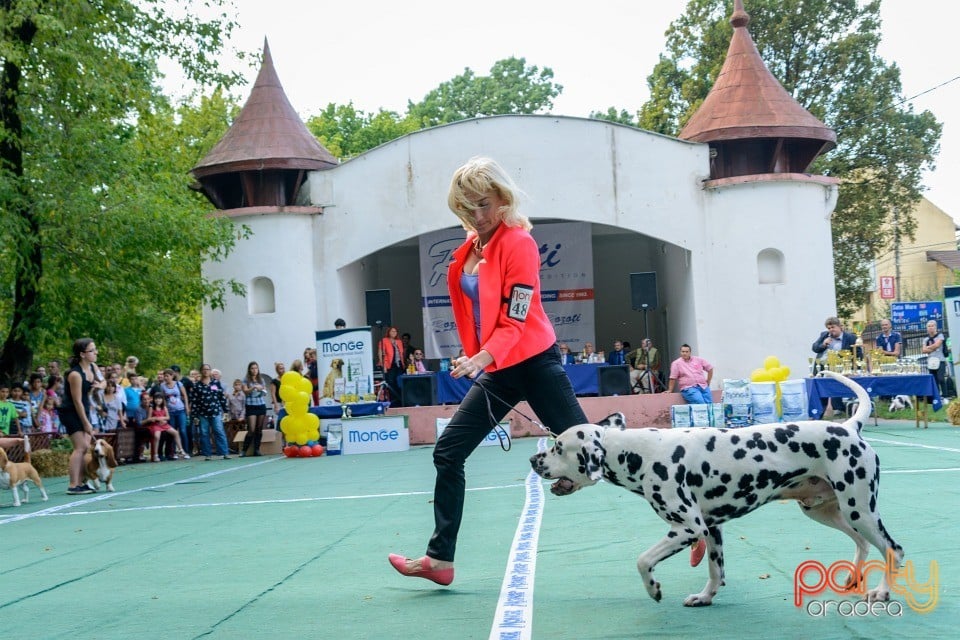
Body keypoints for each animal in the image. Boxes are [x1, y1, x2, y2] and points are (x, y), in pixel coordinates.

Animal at [528, 370, 904, 604]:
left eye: (558, 447)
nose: (533, 460)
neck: (641, 452)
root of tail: (850, 426)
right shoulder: (711, 529)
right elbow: (714, 570)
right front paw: (705, 597)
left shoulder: (688, 528)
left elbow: (642, 560)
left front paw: (653, 590)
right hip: (829, 512)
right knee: (863, 545)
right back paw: (853, 579)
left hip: (860, 511)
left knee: (893, 550)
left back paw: (882, 592)